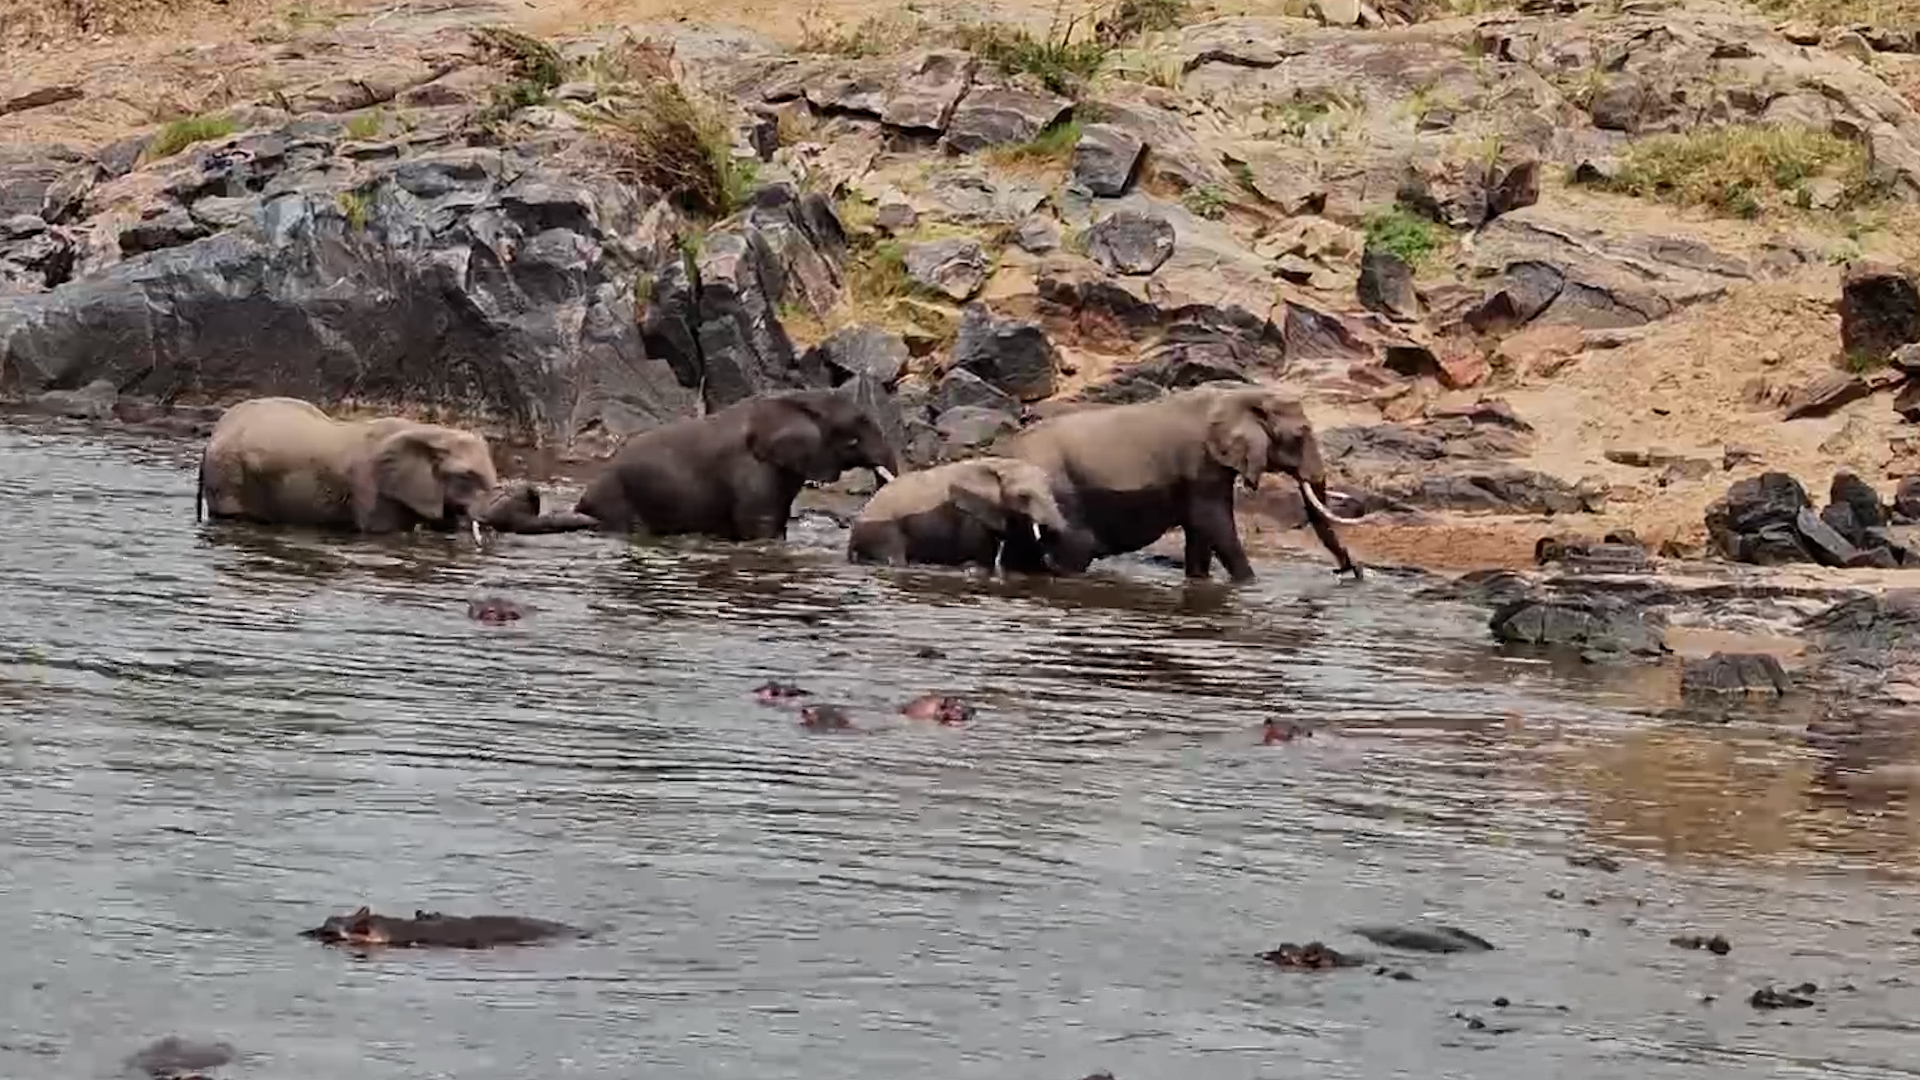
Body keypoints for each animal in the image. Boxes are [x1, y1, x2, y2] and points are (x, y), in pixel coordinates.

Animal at [847, 456, 1097, 574]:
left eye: (1050, 490)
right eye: (1023, 496)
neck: (1001, 465)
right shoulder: (971, 514)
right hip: (883, 530)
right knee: (896, 557)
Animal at [997, 384, 1364, 583]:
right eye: (1300, 435)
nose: (1350, 571)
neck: (1237, 395)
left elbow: (1200, 532)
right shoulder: (1201, 464)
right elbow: (1214, 523)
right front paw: (1249, 586)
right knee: (1073, 549)